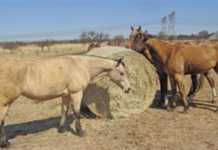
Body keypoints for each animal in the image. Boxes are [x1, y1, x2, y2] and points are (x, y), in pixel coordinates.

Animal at [0, 54, 130, 146]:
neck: (81, 65)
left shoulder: (65, 94)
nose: (128, 89)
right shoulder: (76, 93)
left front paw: (61, 129)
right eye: (121, 73)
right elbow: (76, 112)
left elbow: (64, 111)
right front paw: (80, 132)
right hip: (5, 103)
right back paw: (5, 143)